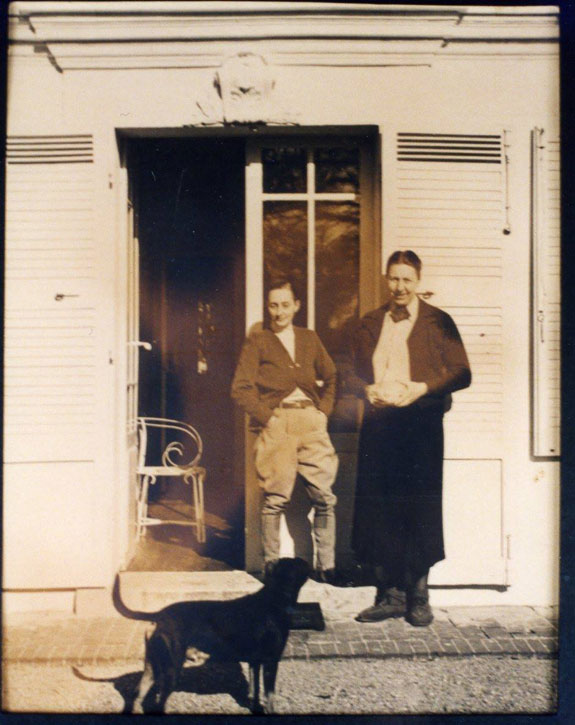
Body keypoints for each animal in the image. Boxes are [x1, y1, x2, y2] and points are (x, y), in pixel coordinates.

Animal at [113, 556, 310, 708]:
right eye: (297, 564)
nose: (308, 563)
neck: (274, 598)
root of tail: (159, 614)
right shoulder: (271, 661)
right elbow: (270, 698)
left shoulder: (255, 662)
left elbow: (255, 691)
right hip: (172, 668)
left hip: (151, 665)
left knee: (137, 696)